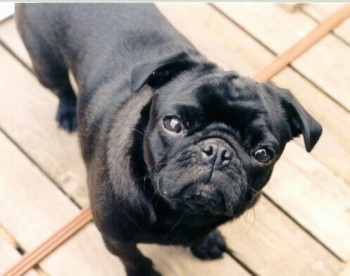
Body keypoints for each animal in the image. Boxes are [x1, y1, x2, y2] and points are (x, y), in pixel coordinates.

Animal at [15, 3, 322, 274]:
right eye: (173, 124)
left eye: (263, 153)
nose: (217, 150)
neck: (182, 212)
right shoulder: (117, 240)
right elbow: (134, 259)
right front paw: (144, 274)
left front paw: (206, 242)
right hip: (46, 65)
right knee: (61, 87)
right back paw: (68, 113)